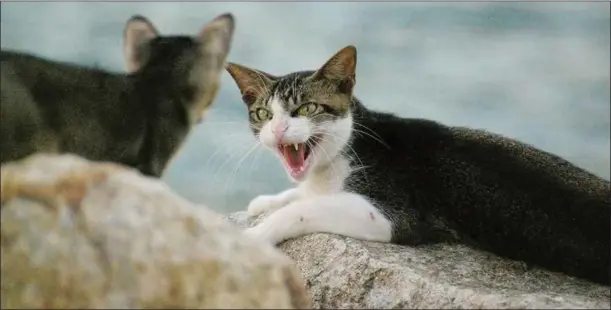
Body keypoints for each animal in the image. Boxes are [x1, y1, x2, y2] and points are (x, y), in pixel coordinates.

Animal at [226, 44, 611, 284]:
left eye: (306, 108)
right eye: (263, 114)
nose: (278, 129)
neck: (348, 149)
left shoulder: (396, 215)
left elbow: (306, 209)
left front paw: (255, 234)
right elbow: (305, 195)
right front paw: (268, 200)